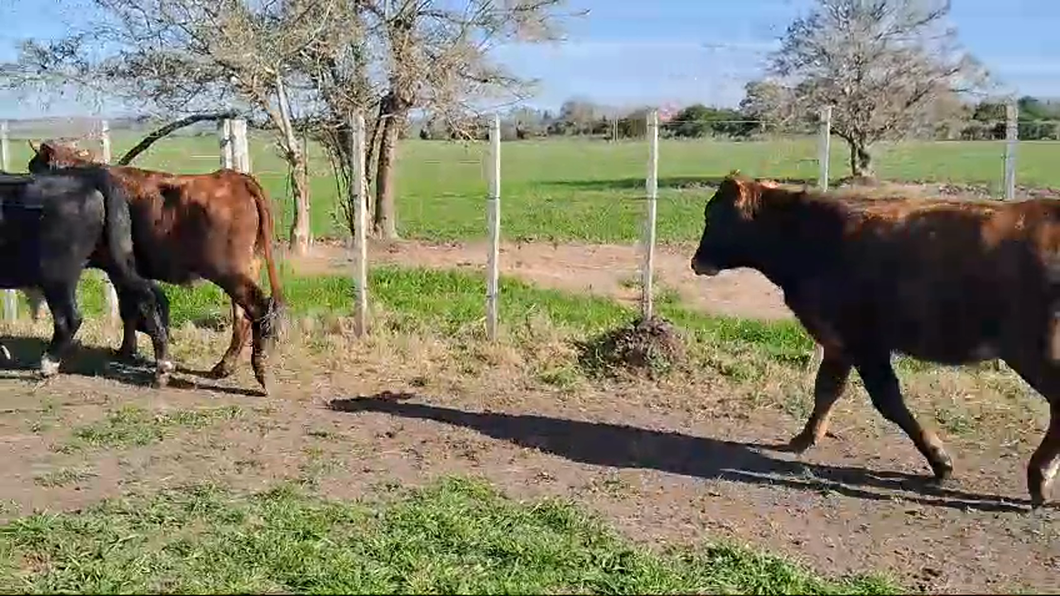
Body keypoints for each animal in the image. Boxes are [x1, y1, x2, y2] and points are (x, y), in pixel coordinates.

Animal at [0, 164, 171, 381]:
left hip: (57, 274)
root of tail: (90, 178)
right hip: (119, 260)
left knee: (70, 318)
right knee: (149, 298)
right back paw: (162, 366)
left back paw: (48, 364)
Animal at [27, 136, 286, 392]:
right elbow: (130, 311)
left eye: (33, 168)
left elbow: (129, 309)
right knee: (242, 317)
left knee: (259, 309)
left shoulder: (117, 269)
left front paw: (127, 350)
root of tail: (234, 178)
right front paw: (128, 349)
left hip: (228, 272)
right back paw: (223, 367)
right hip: (246, 269)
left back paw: (261, 371)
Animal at [691, 169, 1060, 509]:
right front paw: (804, 438)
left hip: (1034, 349)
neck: (812, 237)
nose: (696, 261)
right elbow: (826, 389)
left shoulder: (865, 343)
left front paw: (940, 461)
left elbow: (888, 400)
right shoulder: (838, 343)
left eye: (714, 215)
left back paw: (1039, 477)